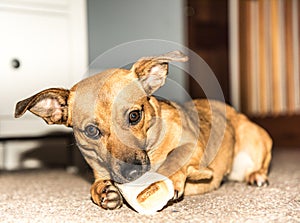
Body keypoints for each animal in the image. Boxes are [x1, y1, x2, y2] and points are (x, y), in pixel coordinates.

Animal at [14, 51, 272, 211]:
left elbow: (175, 158)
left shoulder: (191, 145)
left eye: (134, 116)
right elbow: (95, 185)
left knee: (261, 163)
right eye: (91, 131)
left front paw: (167, 180)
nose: (131, 173)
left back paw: (257, 176)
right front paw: (103, 191)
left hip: (255, 143)